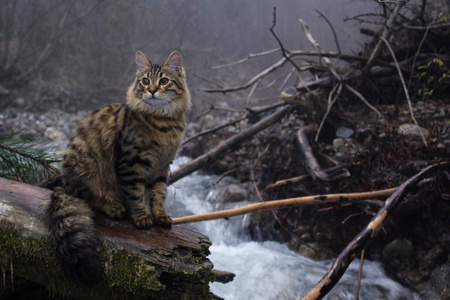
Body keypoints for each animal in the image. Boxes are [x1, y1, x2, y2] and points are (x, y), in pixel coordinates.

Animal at [46, 49, 192, 284]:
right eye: (145, 81)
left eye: (163, 81)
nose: (152, 91)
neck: (163, 122)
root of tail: (65, 183)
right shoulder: (131, 162)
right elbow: (136, 194)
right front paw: (142, 217)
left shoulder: (162, 167)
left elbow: (159, 194)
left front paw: (160, 214)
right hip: (87, 167)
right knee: (90, 197)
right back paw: (114, 206)